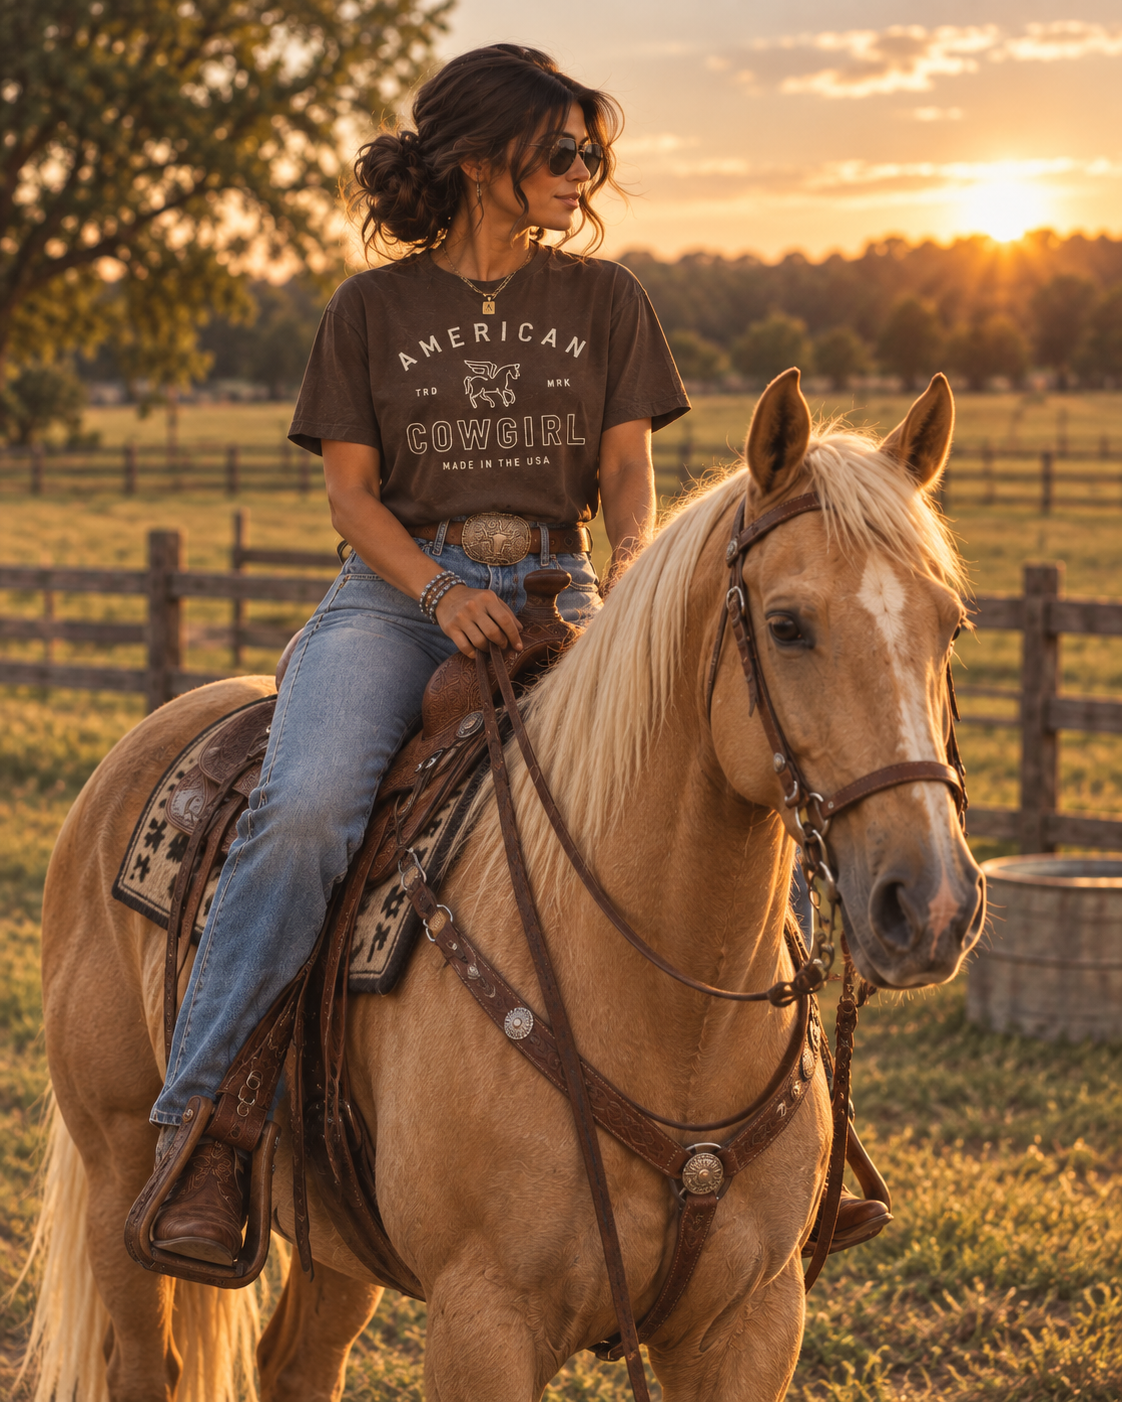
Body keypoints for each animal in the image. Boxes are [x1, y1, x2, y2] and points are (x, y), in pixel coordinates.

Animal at [23, 370, 984, 1402]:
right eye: (787, 625)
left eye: (951, 623)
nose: (931, 901)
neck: (661, 1013)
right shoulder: (483, 1322)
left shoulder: (751, 1325)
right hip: (118, 1170)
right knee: (143, 1356)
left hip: (336, 1236)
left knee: (296, 1364)